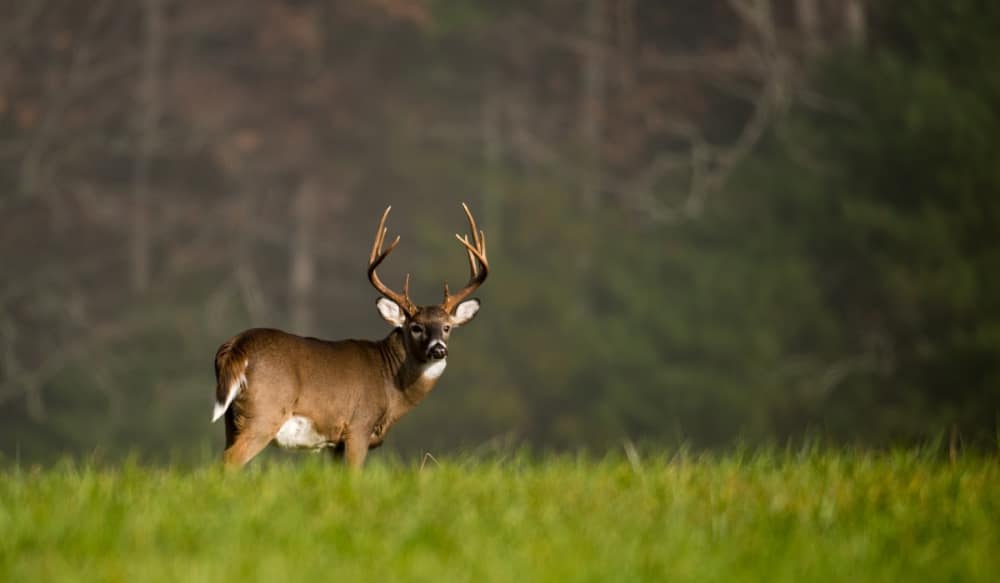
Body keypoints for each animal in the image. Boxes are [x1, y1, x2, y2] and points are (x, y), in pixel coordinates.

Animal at [210, 203, 488, 469]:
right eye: (416, 327)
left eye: (447, 327)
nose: (438, 348)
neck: (390, 385)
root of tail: (236, 346)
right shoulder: (358, 426)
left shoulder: (335, 443)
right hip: (263, 413)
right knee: (229, 462)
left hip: (231, 420)